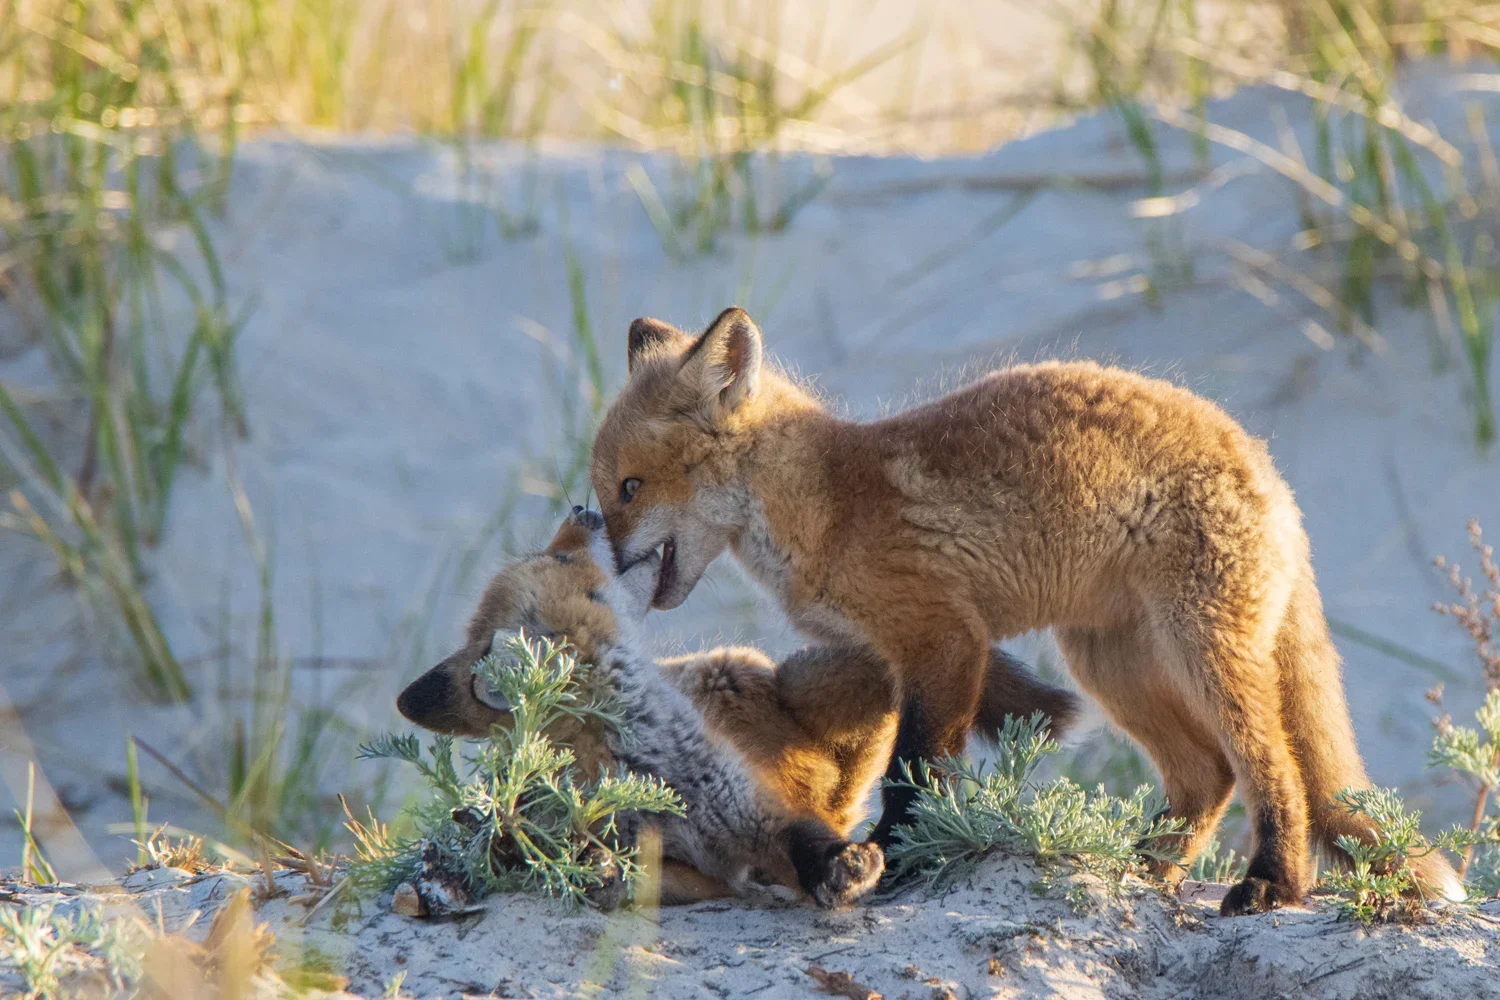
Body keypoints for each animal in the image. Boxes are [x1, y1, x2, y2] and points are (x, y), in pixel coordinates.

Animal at [396, 506, 1079, 907]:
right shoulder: (671, 855)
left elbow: (807, 841)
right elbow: (628, 874)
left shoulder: (756, 810)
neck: (645, 757)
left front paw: (843, 866)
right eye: (562, 558)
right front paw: (587, 867)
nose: (582, 507)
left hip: (793, 679)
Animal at [588, 307, 1466, 916]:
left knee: (1273, 768)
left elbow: (915, 773)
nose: (598, 562)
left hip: (1203, 653)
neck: (824, 507)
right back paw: (1141, 867)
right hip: (1112, 663)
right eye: (607, 492)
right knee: (1206, 775)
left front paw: (900, 857)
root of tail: (1264, 463)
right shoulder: (886, 656)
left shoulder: (944, 640)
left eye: (629, 488)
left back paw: (1272, 883)